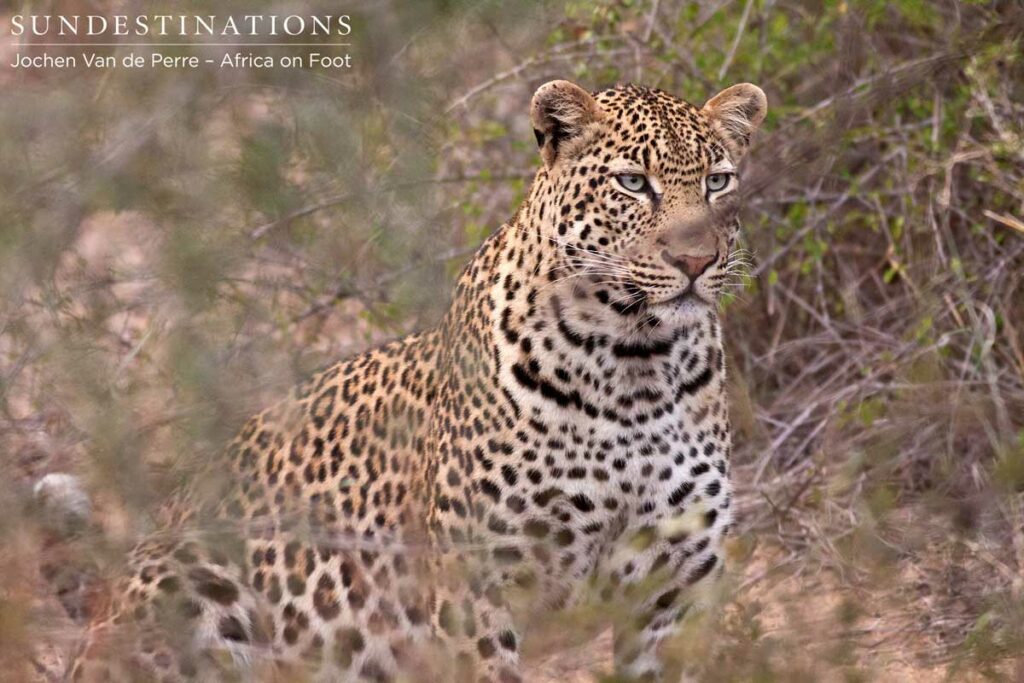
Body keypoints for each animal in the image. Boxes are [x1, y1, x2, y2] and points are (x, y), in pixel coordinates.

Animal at [66, 79, 767, 682]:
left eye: (718, 182)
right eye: (632, 183)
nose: (696, 260)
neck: (635, 365)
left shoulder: (676, 589)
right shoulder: (476, 588)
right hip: (187, 587)